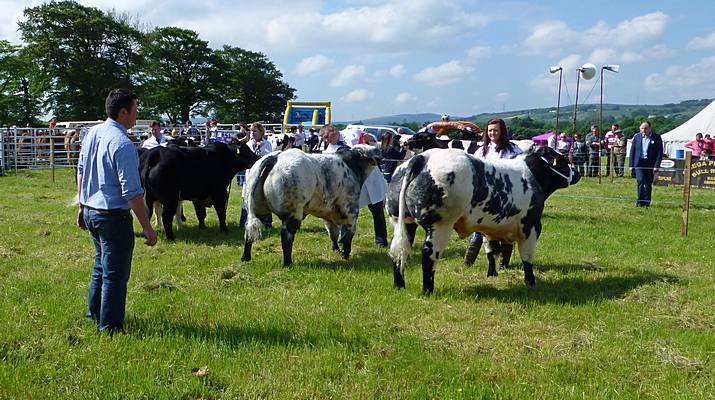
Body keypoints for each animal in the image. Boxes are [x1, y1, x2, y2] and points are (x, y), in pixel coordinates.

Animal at [241, 145, 384, 268]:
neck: (352, 165)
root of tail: (277, 156)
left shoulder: (328, 214)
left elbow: (333, 233)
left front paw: (336, 250)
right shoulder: (351, 211)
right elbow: (349, 235)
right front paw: (346, 254)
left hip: (257, 207)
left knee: (249, 230)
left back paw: (245, 258)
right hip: (293, 212)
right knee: (286, 235)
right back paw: (288, 262)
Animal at [388, 145, 580, 292]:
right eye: (562, 160)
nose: (577, 173)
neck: (530, 174)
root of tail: (423, 156)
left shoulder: (490, 227)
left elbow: (492, 251)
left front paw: (492, 274)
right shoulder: (531, 226)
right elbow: (527, 256)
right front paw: (530, 281)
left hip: (402, 222)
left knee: (398, 250)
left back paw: (399, 286)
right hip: (440, 225)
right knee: (428, 254)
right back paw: (428, 290)